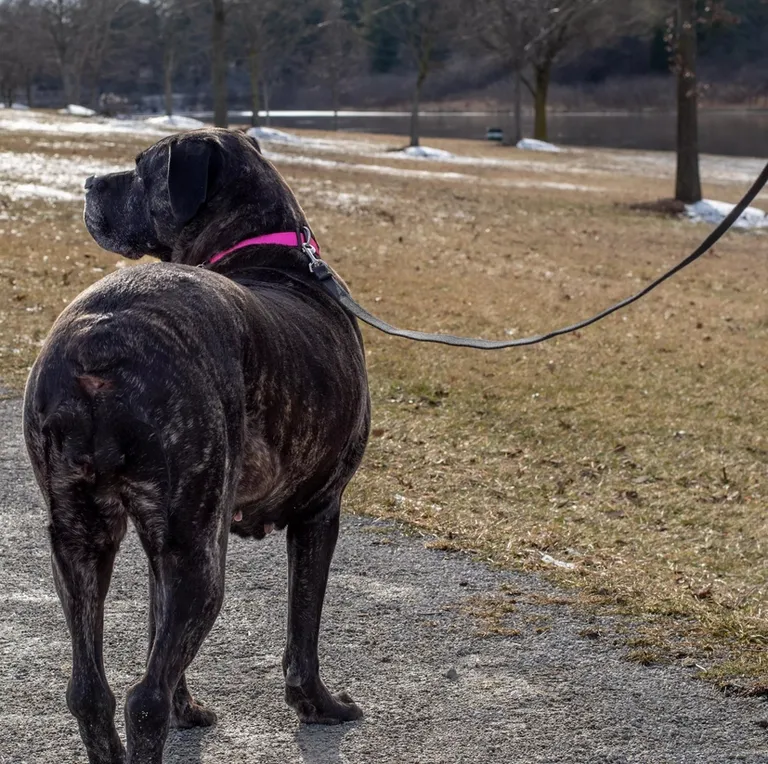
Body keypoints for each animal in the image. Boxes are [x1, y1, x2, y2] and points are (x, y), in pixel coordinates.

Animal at [22, 128, 370, 760]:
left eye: (142, 170)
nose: (88, 182)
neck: (264, 249)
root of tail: (99, 339)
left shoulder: (161, 545)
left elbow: (157, 629)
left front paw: (189, 710)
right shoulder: (319, 512)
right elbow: (303, 628)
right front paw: (320, 707)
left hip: (82, 538)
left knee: (90, 691)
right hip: (202, 556)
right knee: (143, 699)